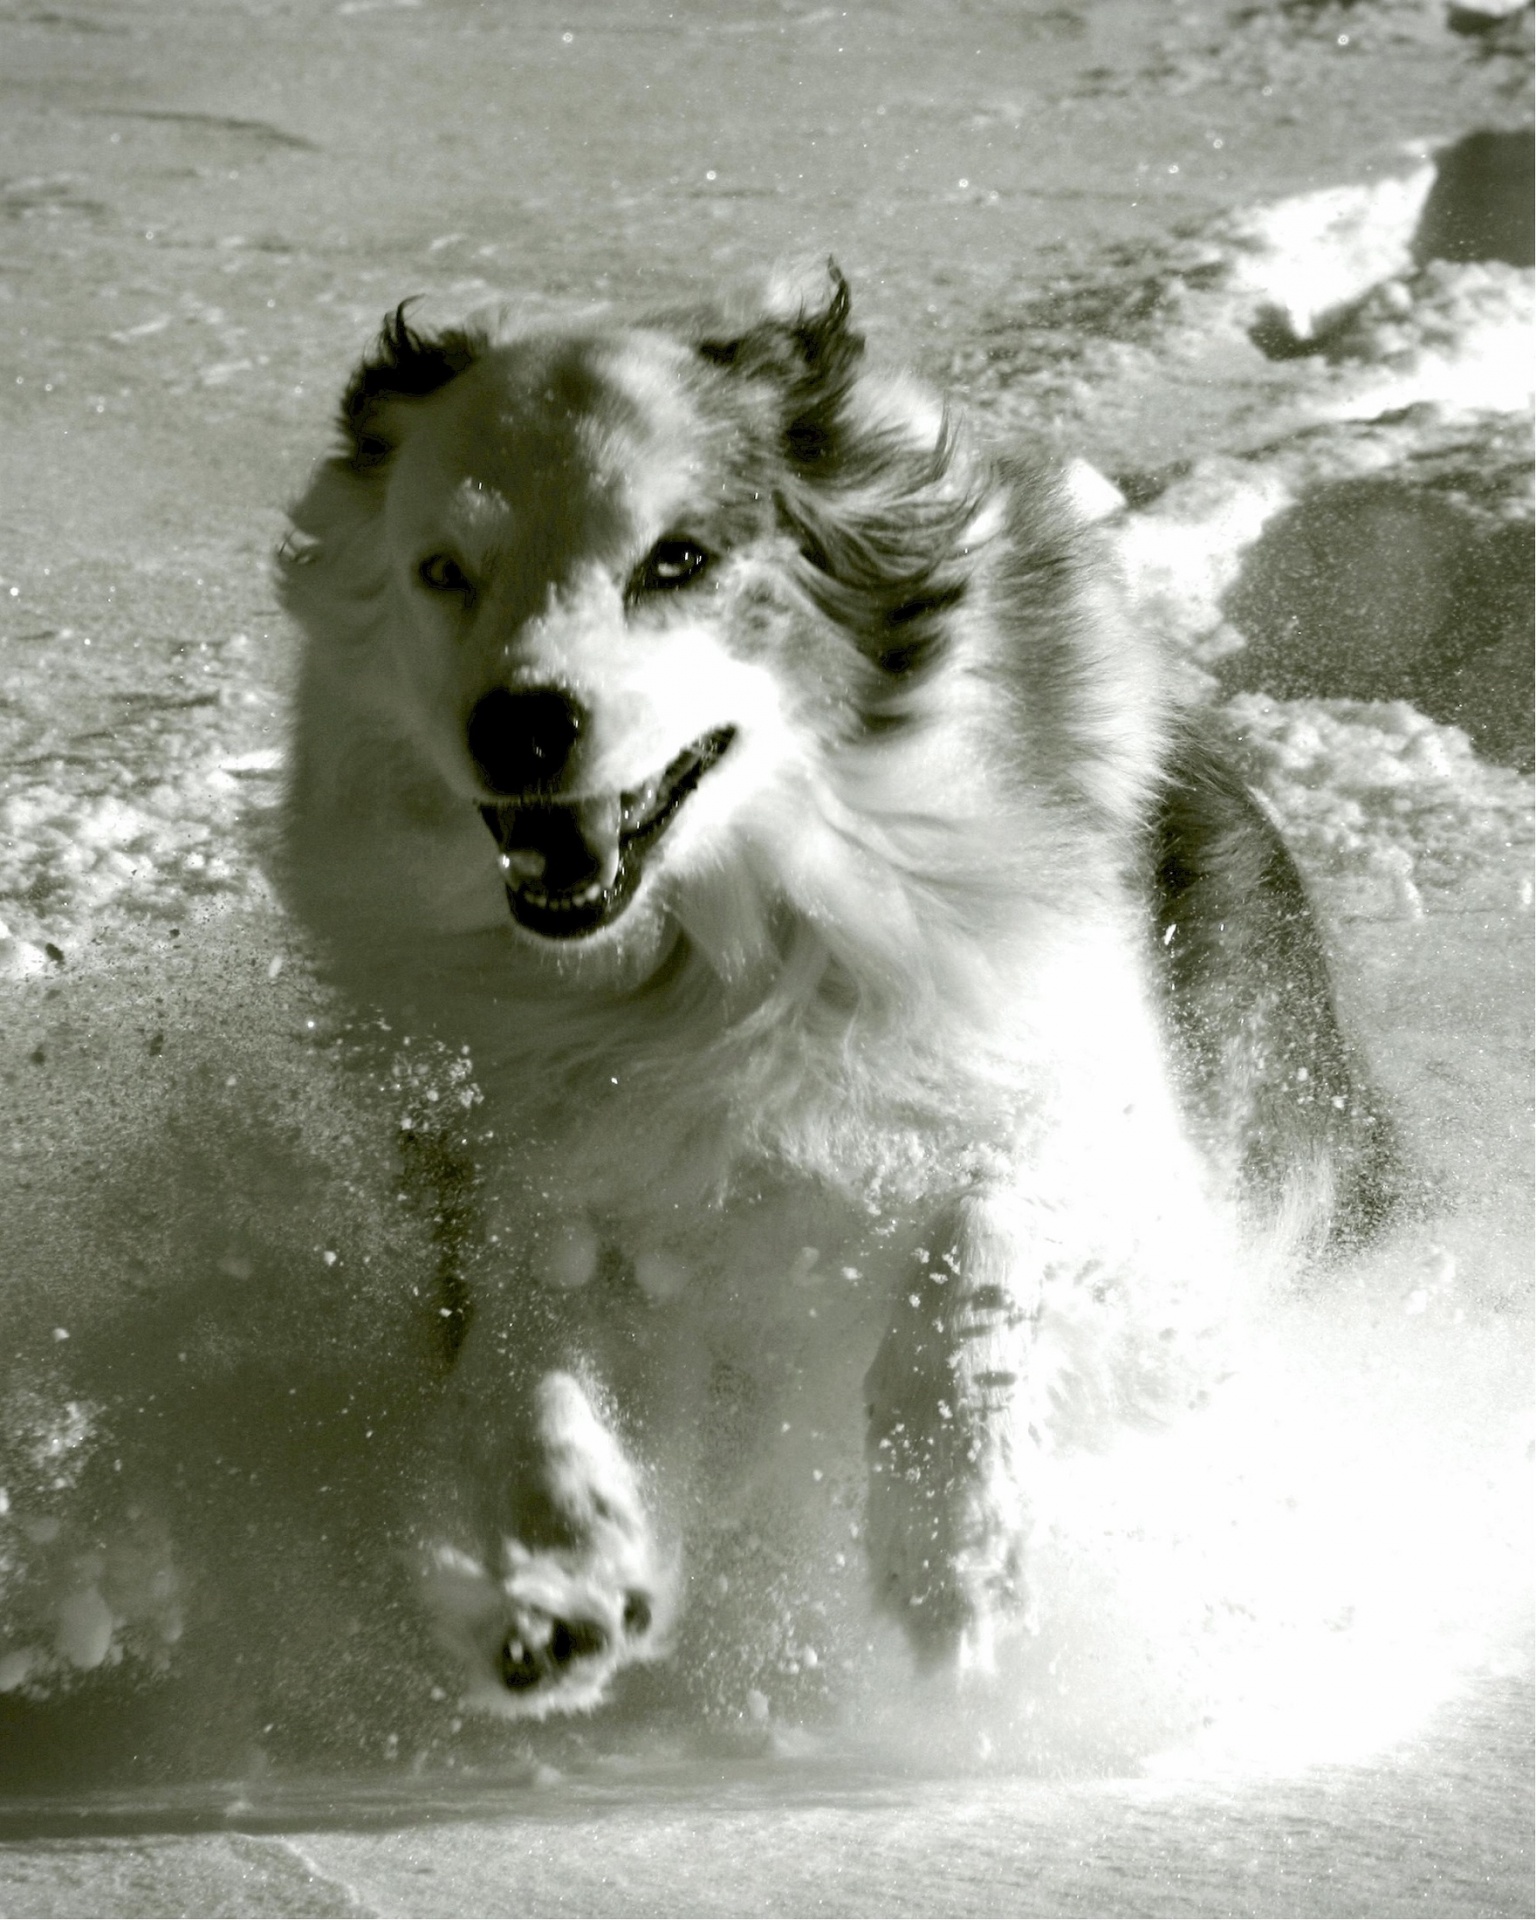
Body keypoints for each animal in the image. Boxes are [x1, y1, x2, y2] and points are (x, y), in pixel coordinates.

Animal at [276, 263, 1405, 1720]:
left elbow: (973, 1249)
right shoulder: (522, 1177)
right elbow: (532, 1374)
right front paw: (563, 1575)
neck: (708, 966)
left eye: (677, 560)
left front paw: (951, 1557)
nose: (518, 726)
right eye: (443, 574)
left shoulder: (1114, 1168)